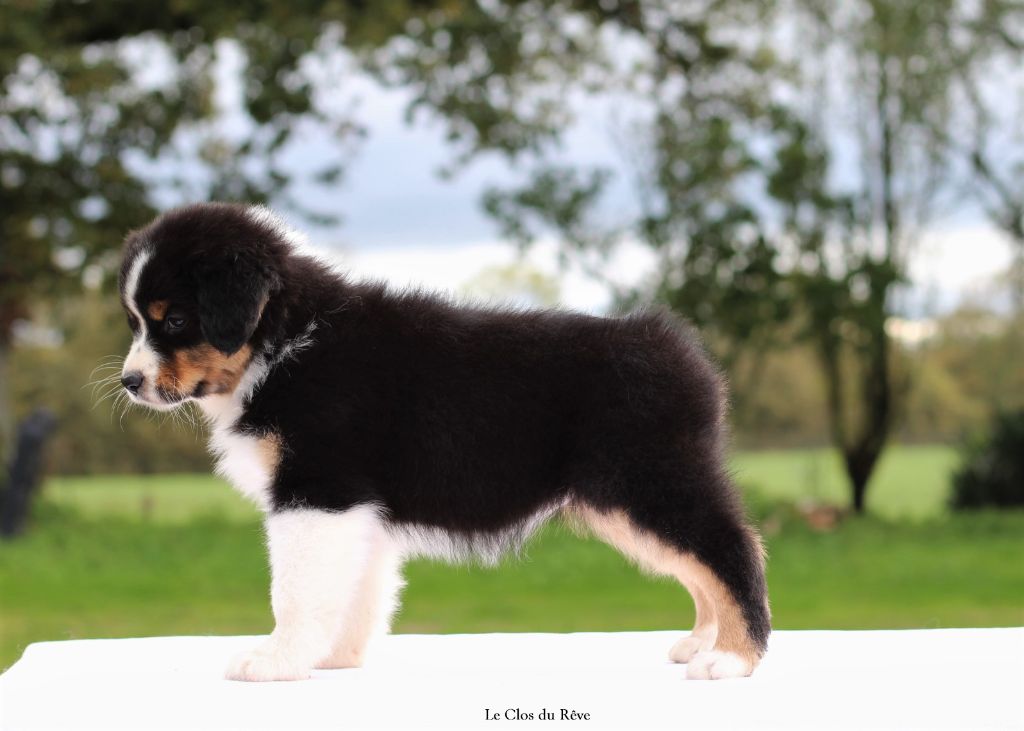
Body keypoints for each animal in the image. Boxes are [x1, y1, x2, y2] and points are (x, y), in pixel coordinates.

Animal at [117, 202, 770, 681]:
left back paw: (731, 658)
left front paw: (274, 660)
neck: (283, 341)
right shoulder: (356, 507)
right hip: (626, 500)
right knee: (699, 562)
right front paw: (335, 659)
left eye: (174, 320)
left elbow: (297, 590)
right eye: (135, 322)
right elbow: (358, 590)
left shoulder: (318, 491)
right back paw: (700, 642)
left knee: (732, 548)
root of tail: (679, 351)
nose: (129, 382)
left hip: (648, 480)